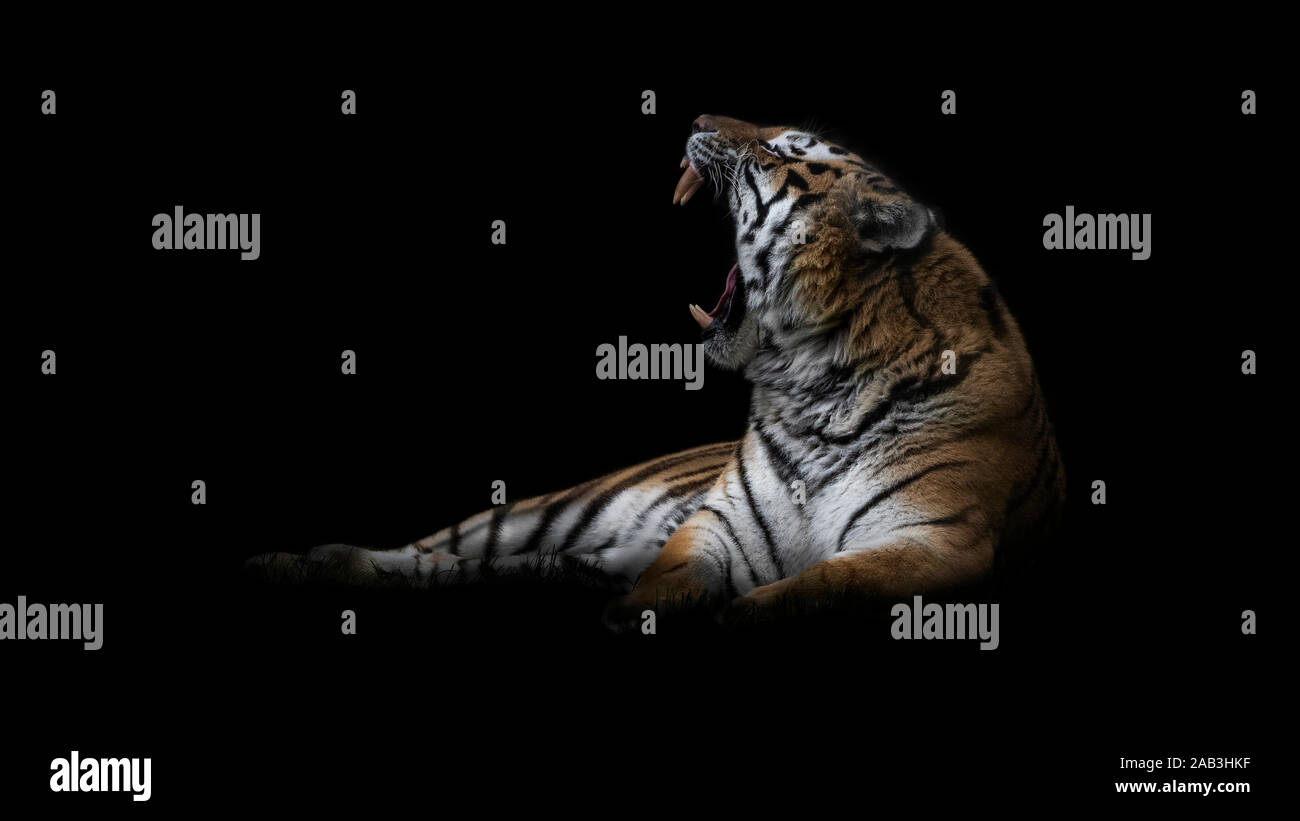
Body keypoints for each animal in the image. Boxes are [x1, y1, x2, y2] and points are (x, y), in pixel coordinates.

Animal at [250, 114, 1065, 629]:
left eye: (785, 149)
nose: (700, 116)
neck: (810, 383)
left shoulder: (937, 539)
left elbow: (836, 576)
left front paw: (748, 612)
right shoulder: (721, 520)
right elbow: (678, 567)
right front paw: (643, 609)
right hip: (544, 509)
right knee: (429, 552)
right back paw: (296, 563)